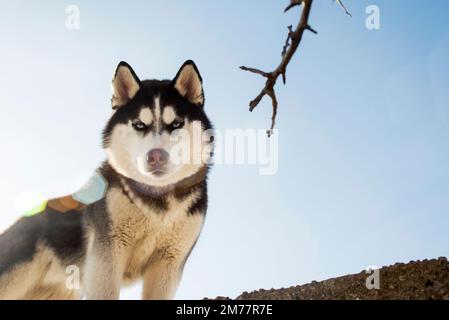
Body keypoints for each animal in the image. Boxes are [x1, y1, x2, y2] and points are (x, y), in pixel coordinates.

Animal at [0, 60, 213, 300]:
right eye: (139, 125)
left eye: (176, 124)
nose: (156, 156)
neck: (156, 203)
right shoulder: (108, 252)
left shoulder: (169, 262)